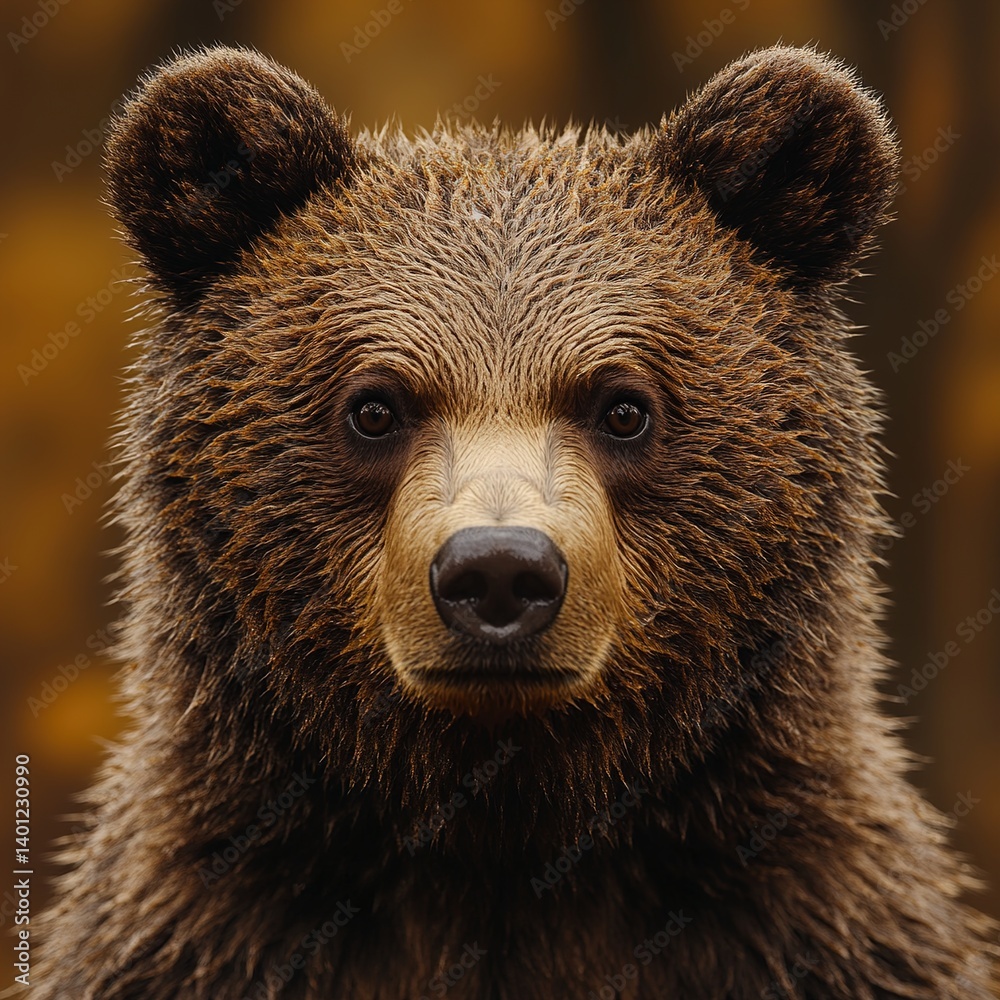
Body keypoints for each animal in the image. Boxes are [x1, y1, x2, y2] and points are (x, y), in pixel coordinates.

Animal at [31, 43, 997, 999]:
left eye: (623, 408)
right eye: (374, 407)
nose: (499, 570)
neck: (505, 831)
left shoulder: (812, 929)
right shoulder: (210, 934)